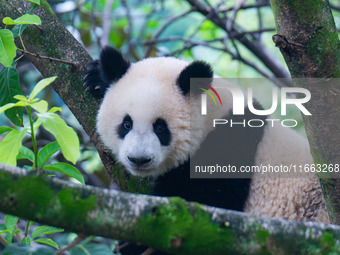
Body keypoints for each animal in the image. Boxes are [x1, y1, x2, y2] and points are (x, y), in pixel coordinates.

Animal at [83, 46, 330, 225]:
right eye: (126, 124)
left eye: (160, 128)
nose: (139, 159)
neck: (213, 115)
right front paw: (96, 77)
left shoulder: (228, 148)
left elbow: (202, 205)